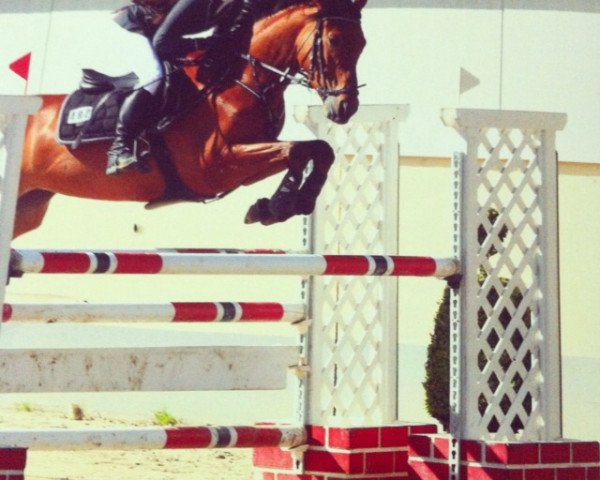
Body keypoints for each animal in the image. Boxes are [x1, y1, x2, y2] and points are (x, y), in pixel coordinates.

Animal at [15, 0, 366, 239]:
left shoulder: (247, 155)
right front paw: (278, 205)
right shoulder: (215, 165)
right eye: (334, 40)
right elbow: (296, 151)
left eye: (362, 43)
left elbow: (319, 149)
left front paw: (282, 205)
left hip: (29, 206)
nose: (345, 106)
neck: (238, 79)